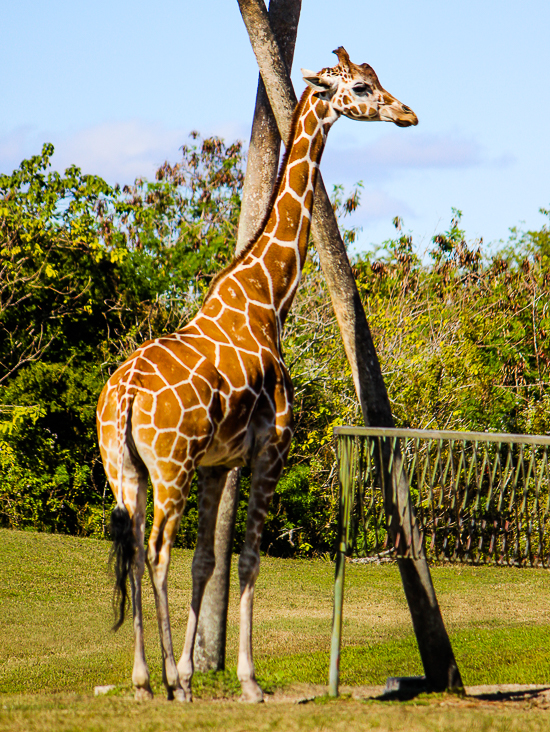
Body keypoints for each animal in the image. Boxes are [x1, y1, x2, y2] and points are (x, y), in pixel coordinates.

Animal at [98, 47, 418, 704]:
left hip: (126, 470)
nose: (408, 113)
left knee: (132, 548)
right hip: (169, 466)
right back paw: (172, 684)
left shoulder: (218, 463)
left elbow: (207, 562)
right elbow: (246, 559)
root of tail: (126, 396)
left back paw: (144, 681)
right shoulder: (271, 449)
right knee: (156, 552)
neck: (268, 298)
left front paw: (196, 666)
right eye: (361, 87)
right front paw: (244, 681)